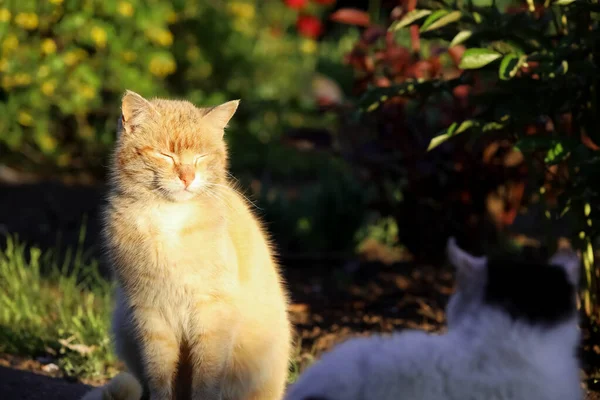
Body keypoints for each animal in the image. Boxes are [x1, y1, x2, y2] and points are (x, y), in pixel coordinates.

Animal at [87, 90, 292, 400]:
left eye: (201, 157)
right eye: (165, 154)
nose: (187, 177)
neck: (169, 218)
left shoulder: (211, 315)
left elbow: (206, 377)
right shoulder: (150, 315)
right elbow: (159, 376)